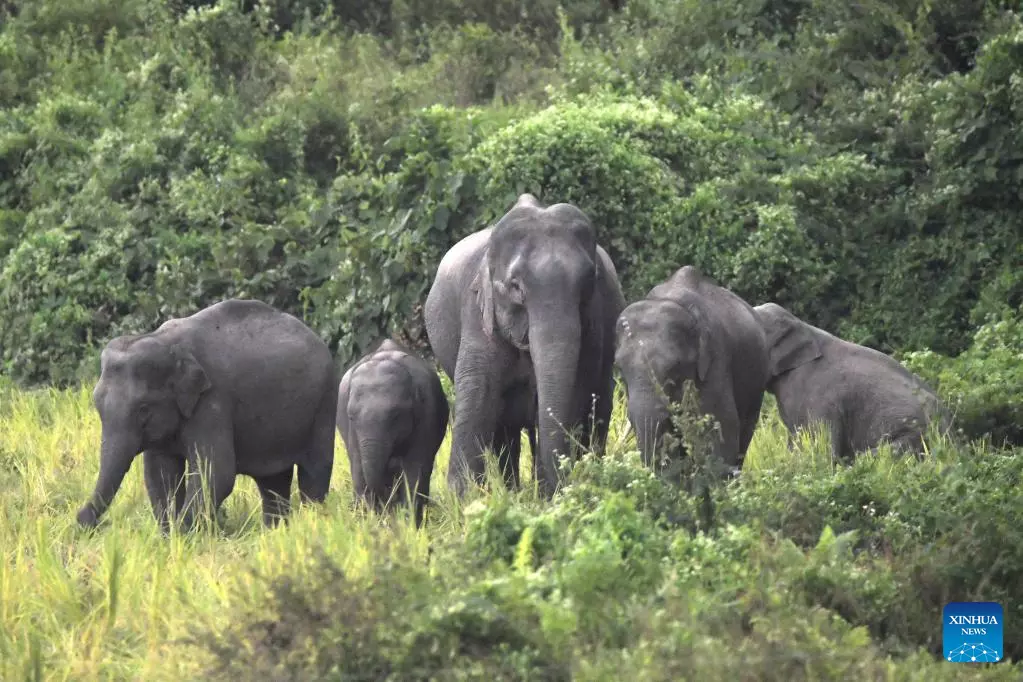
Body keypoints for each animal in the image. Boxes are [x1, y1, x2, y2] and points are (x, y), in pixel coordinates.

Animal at [76, 299, 338, 532]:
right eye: (97, 405)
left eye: (143, 409)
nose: (83, 520)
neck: (164, 341)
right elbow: (160, 474)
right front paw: (169, 536)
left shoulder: (213, 402)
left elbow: (216, 474)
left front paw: (183, 533)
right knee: (272, 482)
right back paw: (275, 532)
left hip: (324, 402)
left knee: (314, 472)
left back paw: (313, 520)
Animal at [336, 339, 449, 527]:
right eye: (351, 416)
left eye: (396, 415)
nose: (387, 507)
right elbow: (359, 470)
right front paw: (371, 523)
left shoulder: (427, 413)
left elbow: (415, 470)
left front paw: (409, 526)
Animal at [424, 194, 626, 498]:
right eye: (516, 287)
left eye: (589, 283)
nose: (560, 487)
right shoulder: (478, 316)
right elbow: (478, 392)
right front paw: (464, 500)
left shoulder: (594, 325)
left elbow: (576, 390)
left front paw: (548, 495)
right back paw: (512, 491)